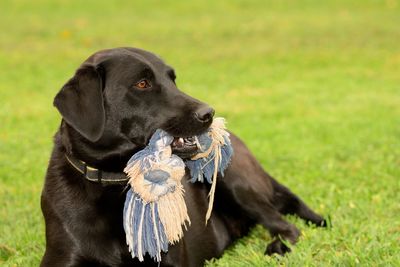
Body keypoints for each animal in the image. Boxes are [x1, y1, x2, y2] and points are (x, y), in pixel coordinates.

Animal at [39, 48, 324, 267]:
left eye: (172, 79)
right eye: (142, 83)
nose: (209, 113)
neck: (114, 182)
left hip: (233, 179)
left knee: (287, 227)